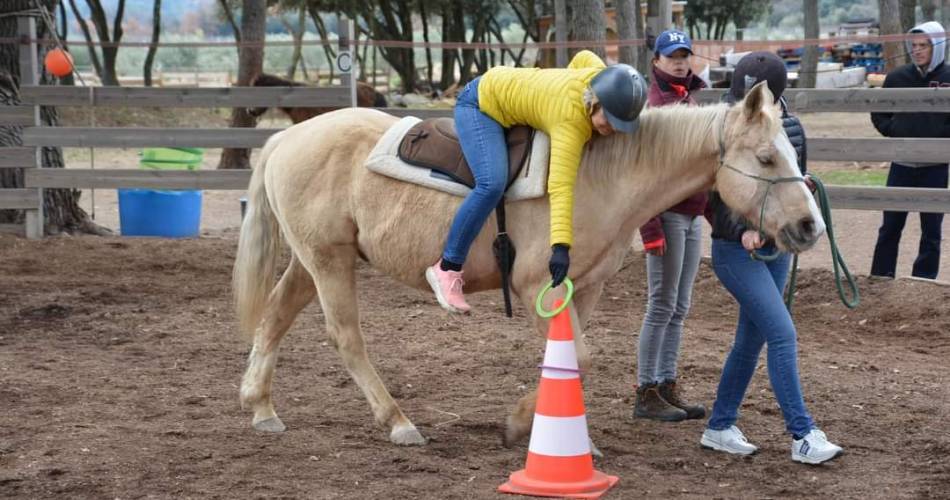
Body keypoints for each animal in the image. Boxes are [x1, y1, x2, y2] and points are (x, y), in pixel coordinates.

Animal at [232, 82, 824, 446]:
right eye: (766, 157)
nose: (809, 227)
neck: (599, 174)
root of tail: (287, 136)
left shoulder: (585, 288)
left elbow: (569, 359)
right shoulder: (542, 283)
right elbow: (578, 356)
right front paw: (522, 425)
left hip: (311, 261)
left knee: (276, 317)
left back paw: (261, 408)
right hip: (328, 262)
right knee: (346, 337)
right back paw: (398, 422)